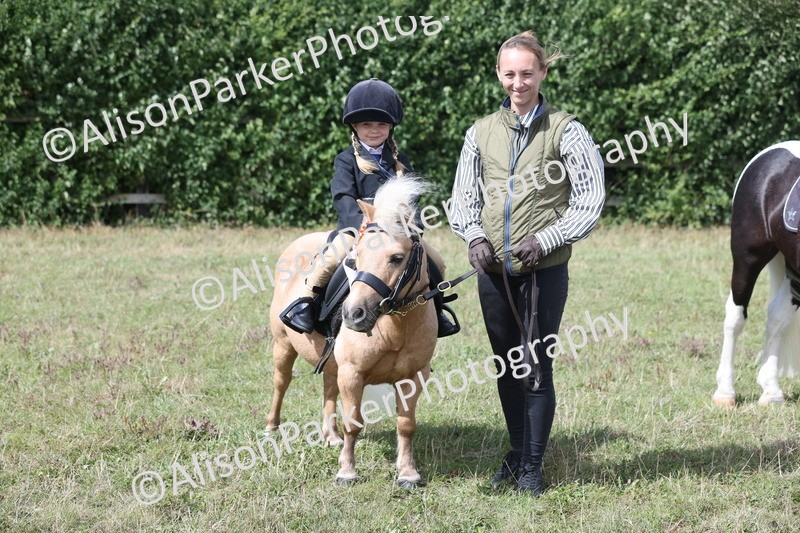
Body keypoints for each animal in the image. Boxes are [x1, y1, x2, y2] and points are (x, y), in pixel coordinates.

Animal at [267, 176, 438, 488]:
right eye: (355, 258)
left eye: (397, 257)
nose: (353, 314)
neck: (394, 327)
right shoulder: (352, 373)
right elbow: (354, 422)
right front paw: (346, 471)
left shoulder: (414, 376)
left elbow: (406, 424)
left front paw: (408, 473)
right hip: (283, 345)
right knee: (281, 382)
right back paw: (271, 426)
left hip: (331, 361)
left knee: (328, 390)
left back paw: (330, 436)